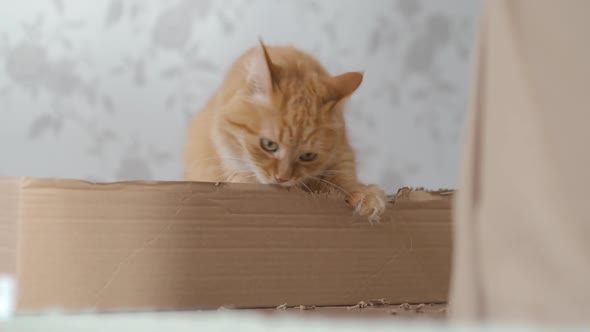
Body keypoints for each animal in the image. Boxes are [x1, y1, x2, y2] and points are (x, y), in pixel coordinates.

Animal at [186, 40, 388, 223]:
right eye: (269, 145)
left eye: (307, 156)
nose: (281, 179)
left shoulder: (341, 154)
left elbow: (344, 180)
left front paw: (364, 194)